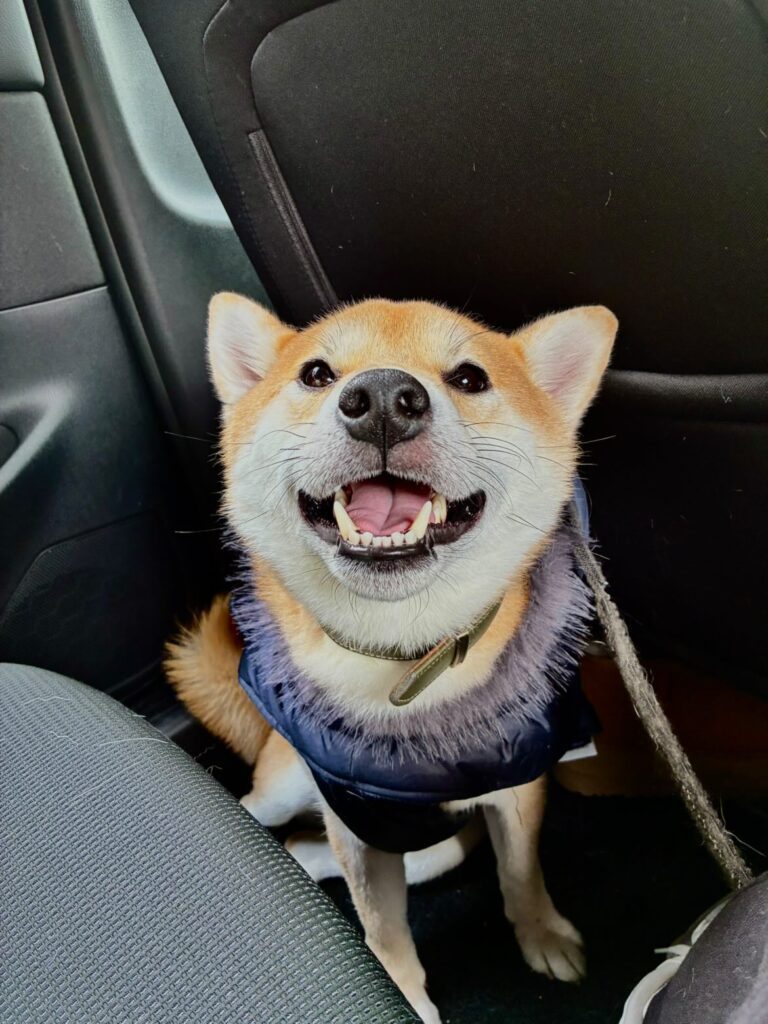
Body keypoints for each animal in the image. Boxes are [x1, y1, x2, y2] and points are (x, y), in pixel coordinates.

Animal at [167, 293, 616, 1023]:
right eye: (316, 373)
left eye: (469, 378)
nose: (382, 397)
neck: (407, 665)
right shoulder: (357, 822)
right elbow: (383, 933)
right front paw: (405, 998)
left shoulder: (516, 788)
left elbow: (520, 872)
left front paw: (542, 933)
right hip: (288, 786)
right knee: (263, 815)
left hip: (433, 849)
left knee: (307, 851)